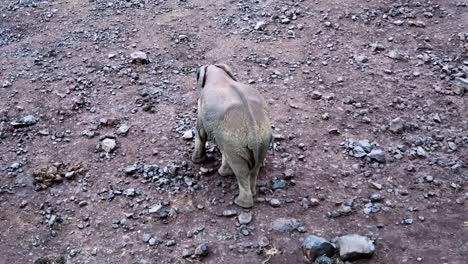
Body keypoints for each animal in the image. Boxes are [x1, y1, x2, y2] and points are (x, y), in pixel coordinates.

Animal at [192, 64, 272, 208]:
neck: (219, 76)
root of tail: (253, 133)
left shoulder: (201, 108)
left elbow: (201, 132)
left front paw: (197, 161)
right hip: (261, 140)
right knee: (253, 169)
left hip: (236, 143)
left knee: (240, 170)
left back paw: (240, 202)